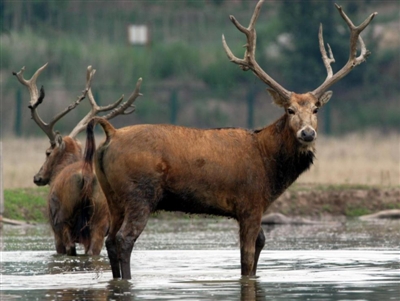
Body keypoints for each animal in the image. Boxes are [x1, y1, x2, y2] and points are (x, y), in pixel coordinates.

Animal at [12, 63, 143, 255]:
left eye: (47, 152)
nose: (37, 177)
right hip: (101, 218)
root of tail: (86, 175)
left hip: (64, 219)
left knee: (71, 247)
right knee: (93, 250)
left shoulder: (55, 229)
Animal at [83, 0, 376, 278]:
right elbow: (246, 258)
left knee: (110, 240)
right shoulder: (249, 202)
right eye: (289, 110)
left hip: (113, 196)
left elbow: (260, 245)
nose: (307, 133)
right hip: (140, 192)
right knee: (124, 240)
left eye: (316, 109)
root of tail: (111, 133)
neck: (270, 166)